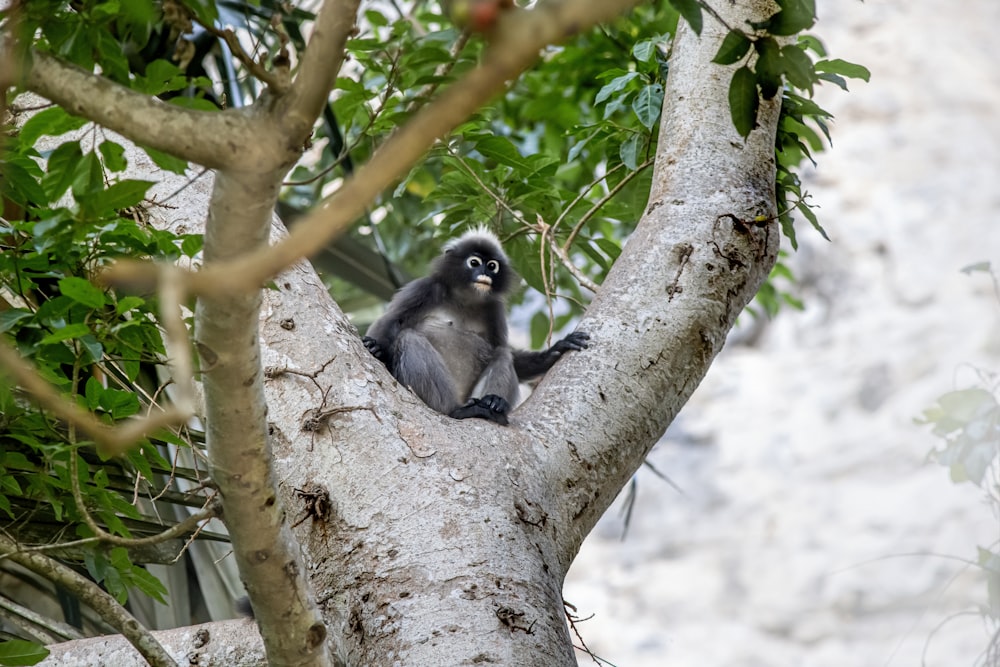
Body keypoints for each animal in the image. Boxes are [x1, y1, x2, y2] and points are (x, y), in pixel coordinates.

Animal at [364, 228, 588, 428]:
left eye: (492, 266)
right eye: (474, 263)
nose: (484, 274)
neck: (466, 299)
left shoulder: (494, 309)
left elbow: (503, 350)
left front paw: (556, 350)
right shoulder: (425, 289)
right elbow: (392, 322)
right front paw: (376, 349)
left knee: (502, 353)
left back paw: (492, 405)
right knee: (409, 338)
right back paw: (457, 410)